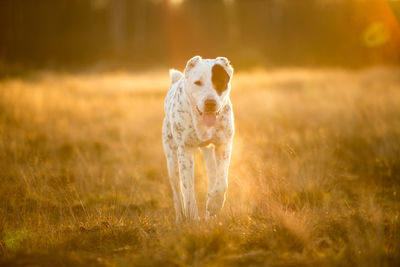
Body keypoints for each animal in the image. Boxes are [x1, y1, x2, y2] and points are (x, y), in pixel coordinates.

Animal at [162, 56, 234, 222]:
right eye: (197, 83)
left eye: (220, 82)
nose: (210, 103)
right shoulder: (185, 150)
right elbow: (188, 189)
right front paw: (192, 218)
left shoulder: (224, 145)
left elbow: (222, 181)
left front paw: (214, 205)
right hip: (171, 159)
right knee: (177, 192)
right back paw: (180, 217)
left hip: (209, 155)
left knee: (213, 177)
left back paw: (210, 215)